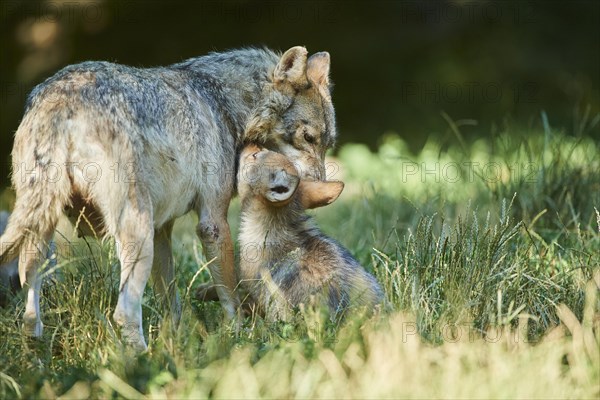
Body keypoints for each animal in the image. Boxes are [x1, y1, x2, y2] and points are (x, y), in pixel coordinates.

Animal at [0, 45, 338, 348]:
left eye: (327, 144)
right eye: (308, 138)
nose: (321, 189)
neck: (225, 103)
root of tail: (61, 98)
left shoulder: (162, 231)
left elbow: (171, 305)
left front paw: (176, 346)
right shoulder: (212, 225)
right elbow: (230, 297)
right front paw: (239, 337)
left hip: (45, 244)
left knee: (30, 316)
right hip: (134, 236)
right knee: (123, 313)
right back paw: (144, 364)